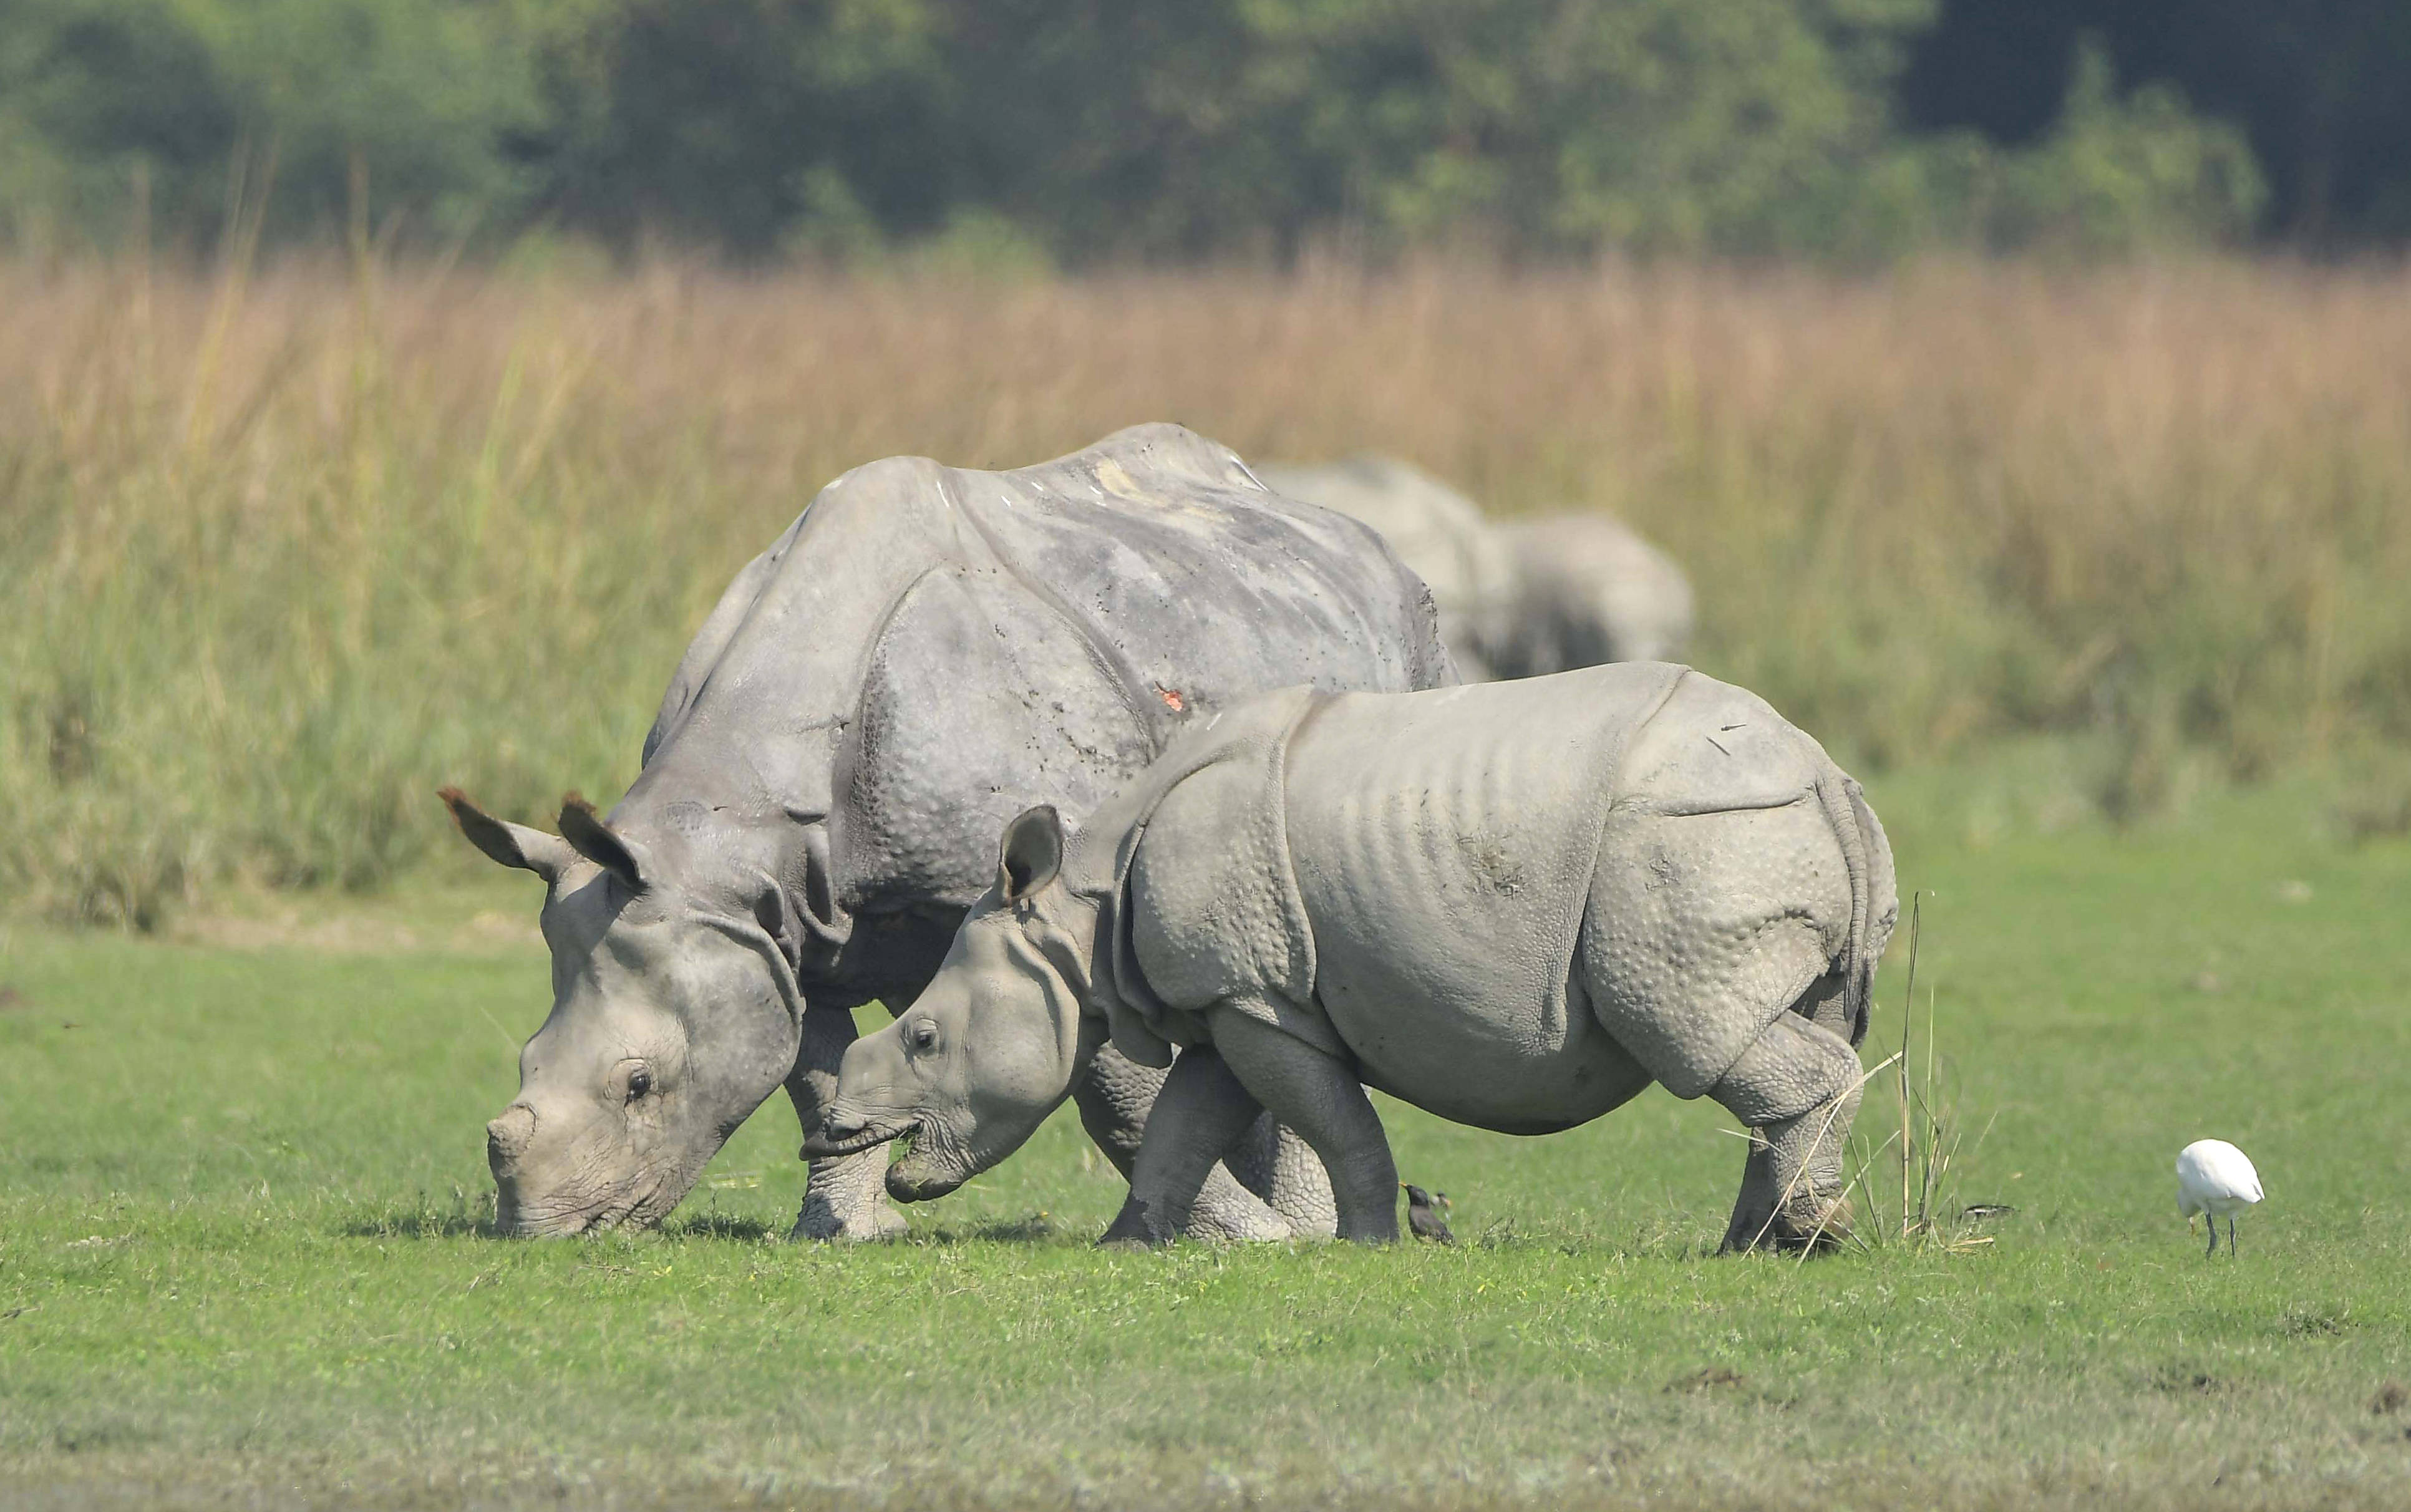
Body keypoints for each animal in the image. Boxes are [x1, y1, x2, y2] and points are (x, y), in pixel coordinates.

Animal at [444, 422, 1447, 1244]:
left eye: (640, 1086)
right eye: (523, 1059)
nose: (540, 1228)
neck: (732, 828)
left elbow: (1114, 1092)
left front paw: (1251, 1240)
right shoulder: (777, 925)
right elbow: (819, 1075)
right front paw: (843, 1234)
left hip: (1414, 639)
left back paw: (1304, 1227)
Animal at [820, 661, 1890, 1254]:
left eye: (923, 1039)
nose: (836, 1130)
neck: (1078, 916)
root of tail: (1826, 770)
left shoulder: (1259, 999)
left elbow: (1336, 1125)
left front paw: (1365, 1244)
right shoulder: (1233, 996)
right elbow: (1184, 1124)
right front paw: (1126, 1246)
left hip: (1690, 838)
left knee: (1690, 1030)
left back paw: (1809, 1236)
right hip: (1748, 829)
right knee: (1781, 1022)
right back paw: (1755, 1247)